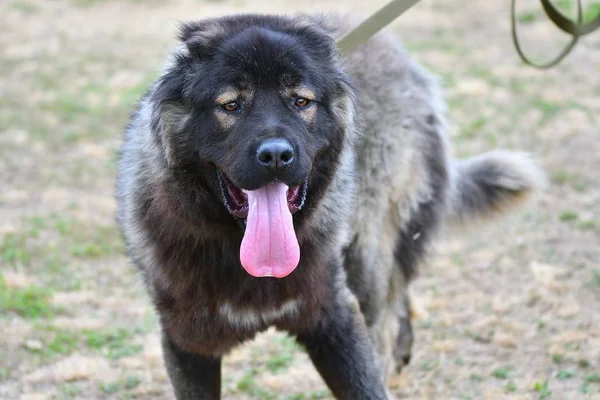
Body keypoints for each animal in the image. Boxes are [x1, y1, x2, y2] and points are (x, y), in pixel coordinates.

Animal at [115, 12, 548, 400]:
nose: (276, 155)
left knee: (387, 305)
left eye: (300, 101)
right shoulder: (188, 344)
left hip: (366, 254)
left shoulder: (337, 320)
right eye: (231, 105)